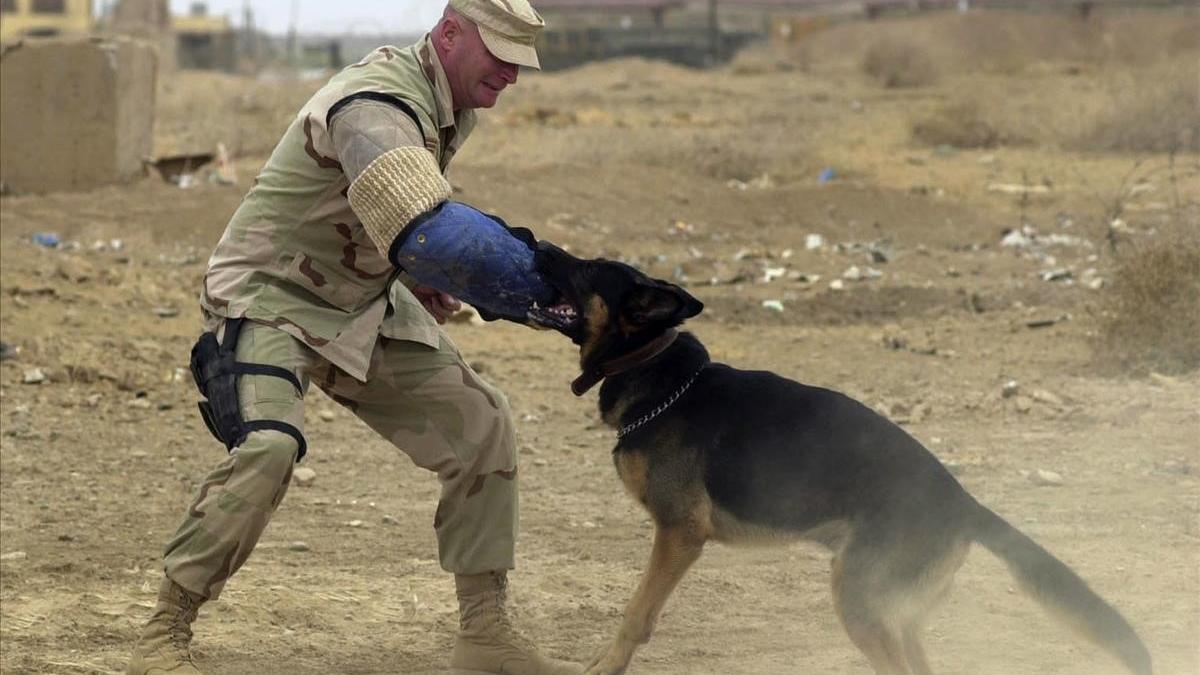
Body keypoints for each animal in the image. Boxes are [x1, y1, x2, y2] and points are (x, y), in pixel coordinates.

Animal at [528, 241, 1152, 672]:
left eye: (588, 268)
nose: (533, 241)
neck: (655, 370)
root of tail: (965, 504)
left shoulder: (680, 534)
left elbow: (636, 615)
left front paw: (606, 664)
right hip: (894, 613)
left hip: (859, 601)